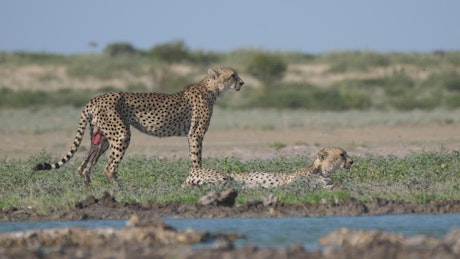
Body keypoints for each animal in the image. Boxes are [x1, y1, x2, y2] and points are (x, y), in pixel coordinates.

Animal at [33, 66, 244, 186]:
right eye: (232, 75)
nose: (242, 82)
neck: (211, 88)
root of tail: (95, 98)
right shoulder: (195, 135)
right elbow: (196, 158)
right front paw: (198, 176)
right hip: (121, 135)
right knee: (108, 168)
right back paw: (121, 189)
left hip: (101, 138)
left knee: (84, 166)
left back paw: (90, 190)